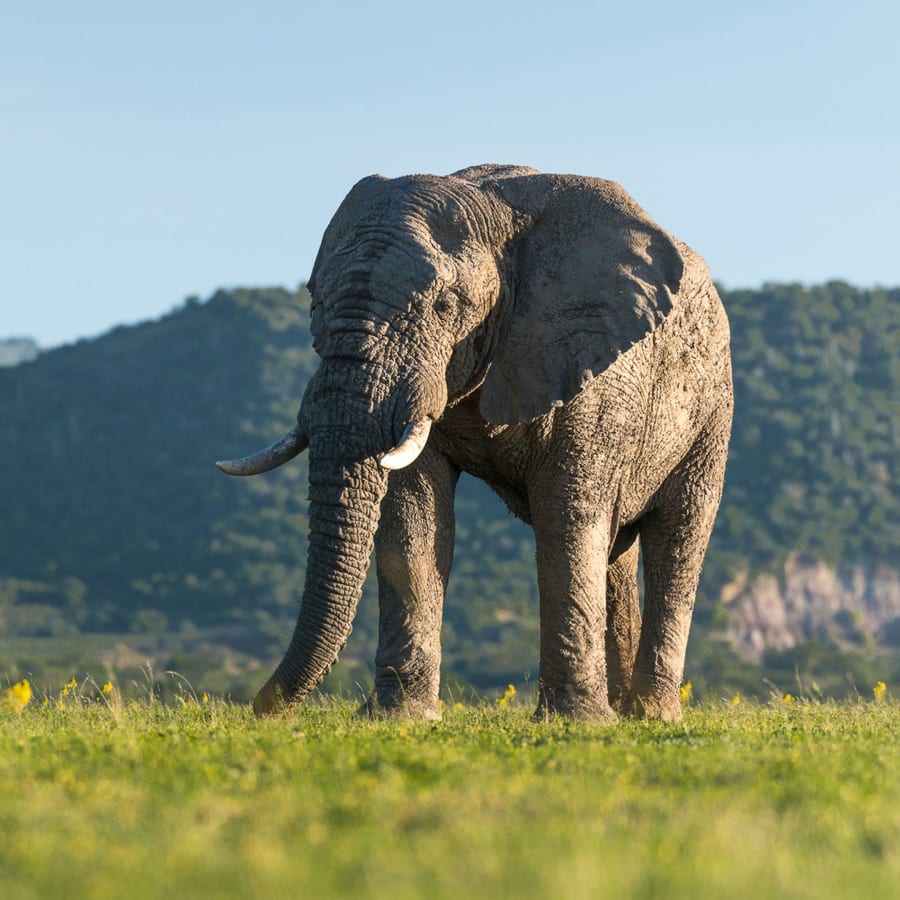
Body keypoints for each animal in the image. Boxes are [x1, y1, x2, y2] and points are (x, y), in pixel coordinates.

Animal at [217, 164, 733, 722]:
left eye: (445, 305)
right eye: (315, 302)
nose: (261, 708)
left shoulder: (593, 367)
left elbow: (567, 515)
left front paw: (574, 721)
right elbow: (414, 521)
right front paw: (402, 716)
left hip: (713, 408)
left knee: (677, 538)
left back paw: (649, 714)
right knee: (615, 549)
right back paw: (622, 710)